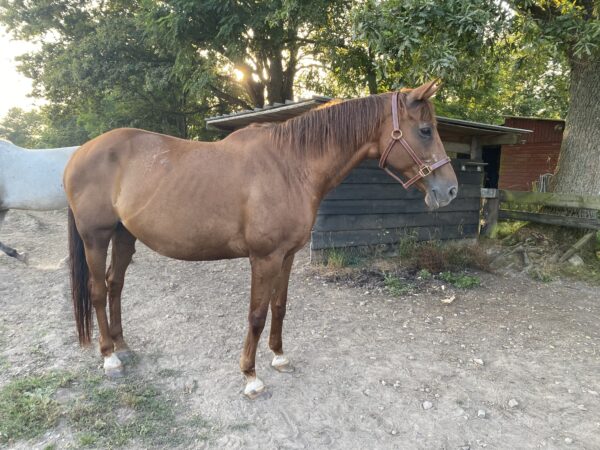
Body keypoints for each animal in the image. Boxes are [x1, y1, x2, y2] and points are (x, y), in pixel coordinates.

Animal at [65, 80, 458, 398]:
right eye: (425, 130)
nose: (450, 190)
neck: (290, 166)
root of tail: (79, 153)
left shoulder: (287, 255)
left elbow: (279, 307)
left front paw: (279, 356)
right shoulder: (264, 257)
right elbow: (256, 313)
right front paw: (250, 377)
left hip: (124, 236)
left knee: (115, 286)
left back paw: (122, 346)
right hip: (96, 238)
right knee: (98, 291)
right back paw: (110, 358)